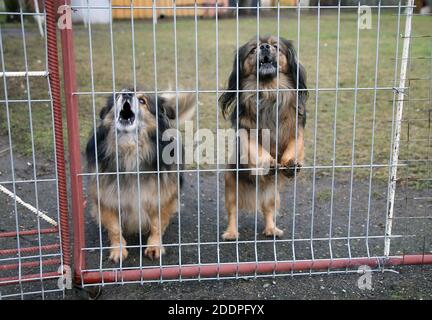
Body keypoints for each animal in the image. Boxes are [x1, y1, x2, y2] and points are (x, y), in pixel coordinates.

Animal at [86, 89, 194, 262]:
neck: (129, 150)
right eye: (117, 96)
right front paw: (118, 249)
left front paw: (154, 246)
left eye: (143, 100)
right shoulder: (106, 197)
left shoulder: (161, 195)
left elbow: (157, 224)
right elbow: (114, 227)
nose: (126, 94)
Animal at [219, 35, 308, 240]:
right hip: (231, 187)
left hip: (272, 195)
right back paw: (231, 233)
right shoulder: (246, 133)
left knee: (268, 210)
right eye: (253, 49)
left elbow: (294, 146)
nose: (265, 47)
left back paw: (271, 229)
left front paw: (290, 163)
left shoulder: (297, 130)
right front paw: (270, 163)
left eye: (276, 46)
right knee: (232, 211)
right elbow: (258, 151)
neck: (268, 92)